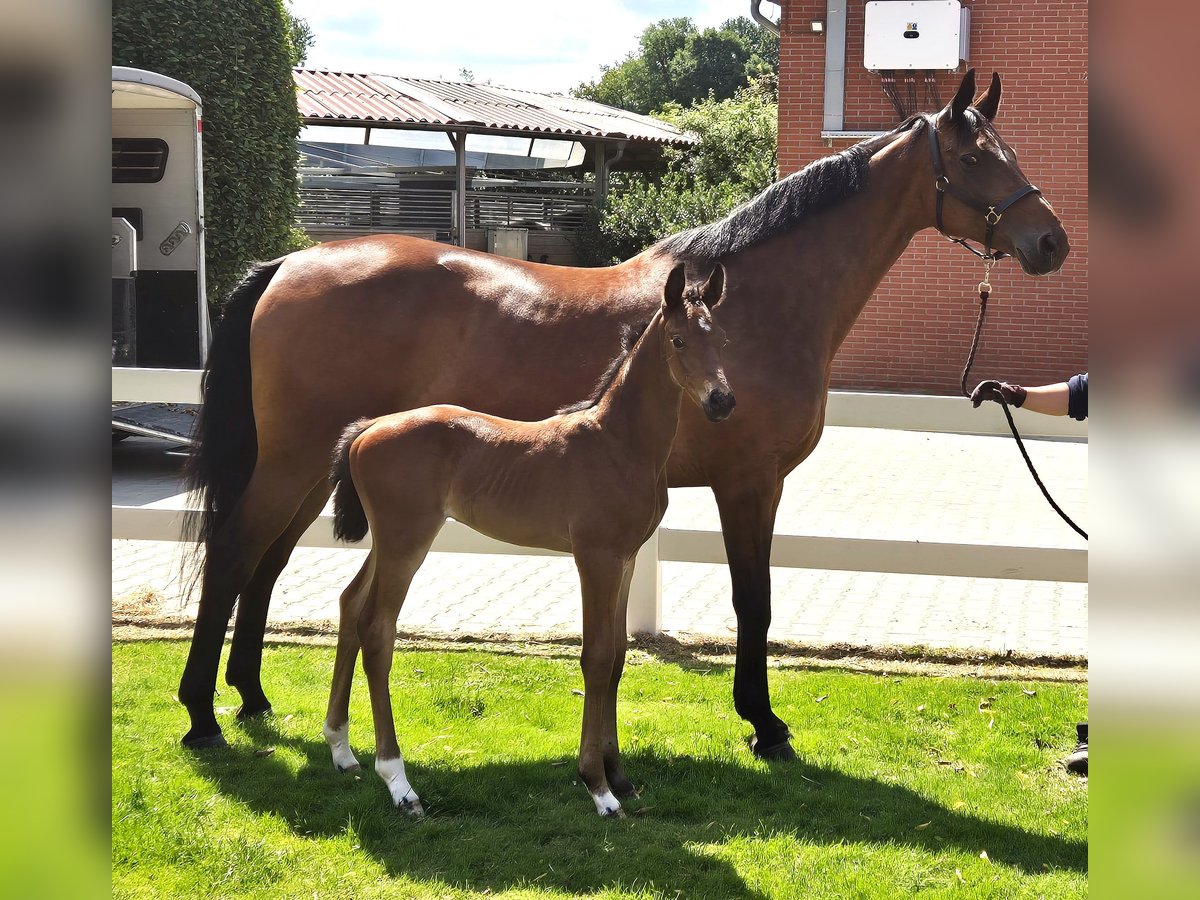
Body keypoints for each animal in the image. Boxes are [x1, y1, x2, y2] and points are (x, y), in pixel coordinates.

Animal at [319, 264, 729, 820]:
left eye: (722, 338)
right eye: (679, 339)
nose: (722, 401)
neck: (619, 443)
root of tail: (369, 428)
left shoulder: (625, 559)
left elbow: (619, 657)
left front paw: (619, 775)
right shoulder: (595, 558)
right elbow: (596, 657)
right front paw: (597, 787)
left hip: (387, 541)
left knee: (349, 604)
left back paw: (341, 750)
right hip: (407, 541)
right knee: (377, 630)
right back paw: (399, 783)